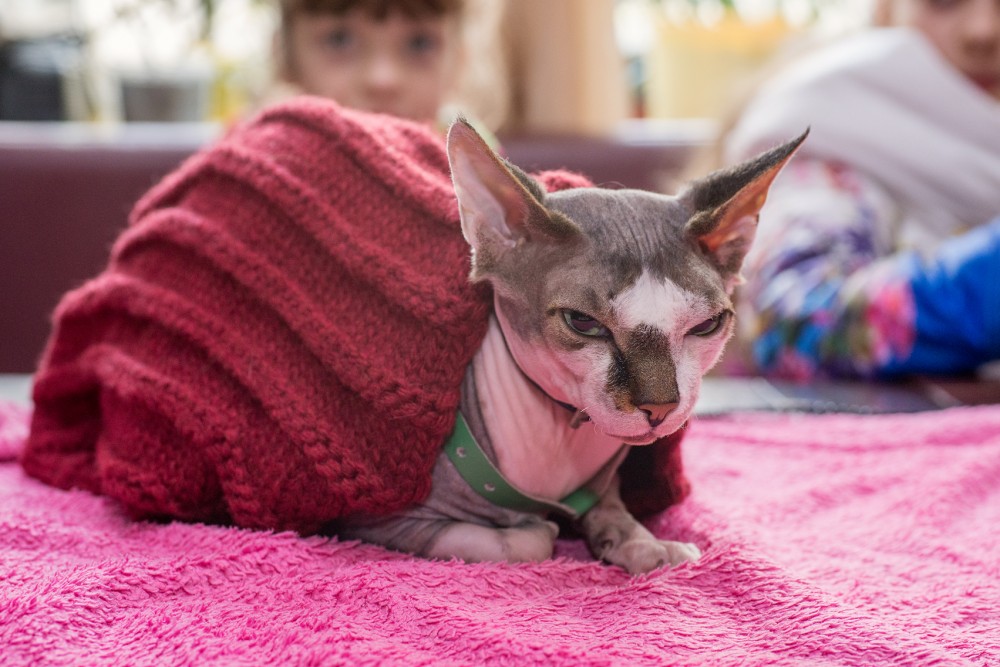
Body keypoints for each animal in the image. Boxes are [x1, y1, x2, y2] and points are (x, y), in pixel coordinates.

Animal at [340, 119, 806, 575]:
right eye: (582, 322)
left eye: (706, 325)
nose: (659, 407)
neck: (564, 436)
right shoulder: (379, 517)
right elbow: (527, 543)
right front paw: (537, 529)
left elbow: (613, 512)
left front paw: (644, 543)